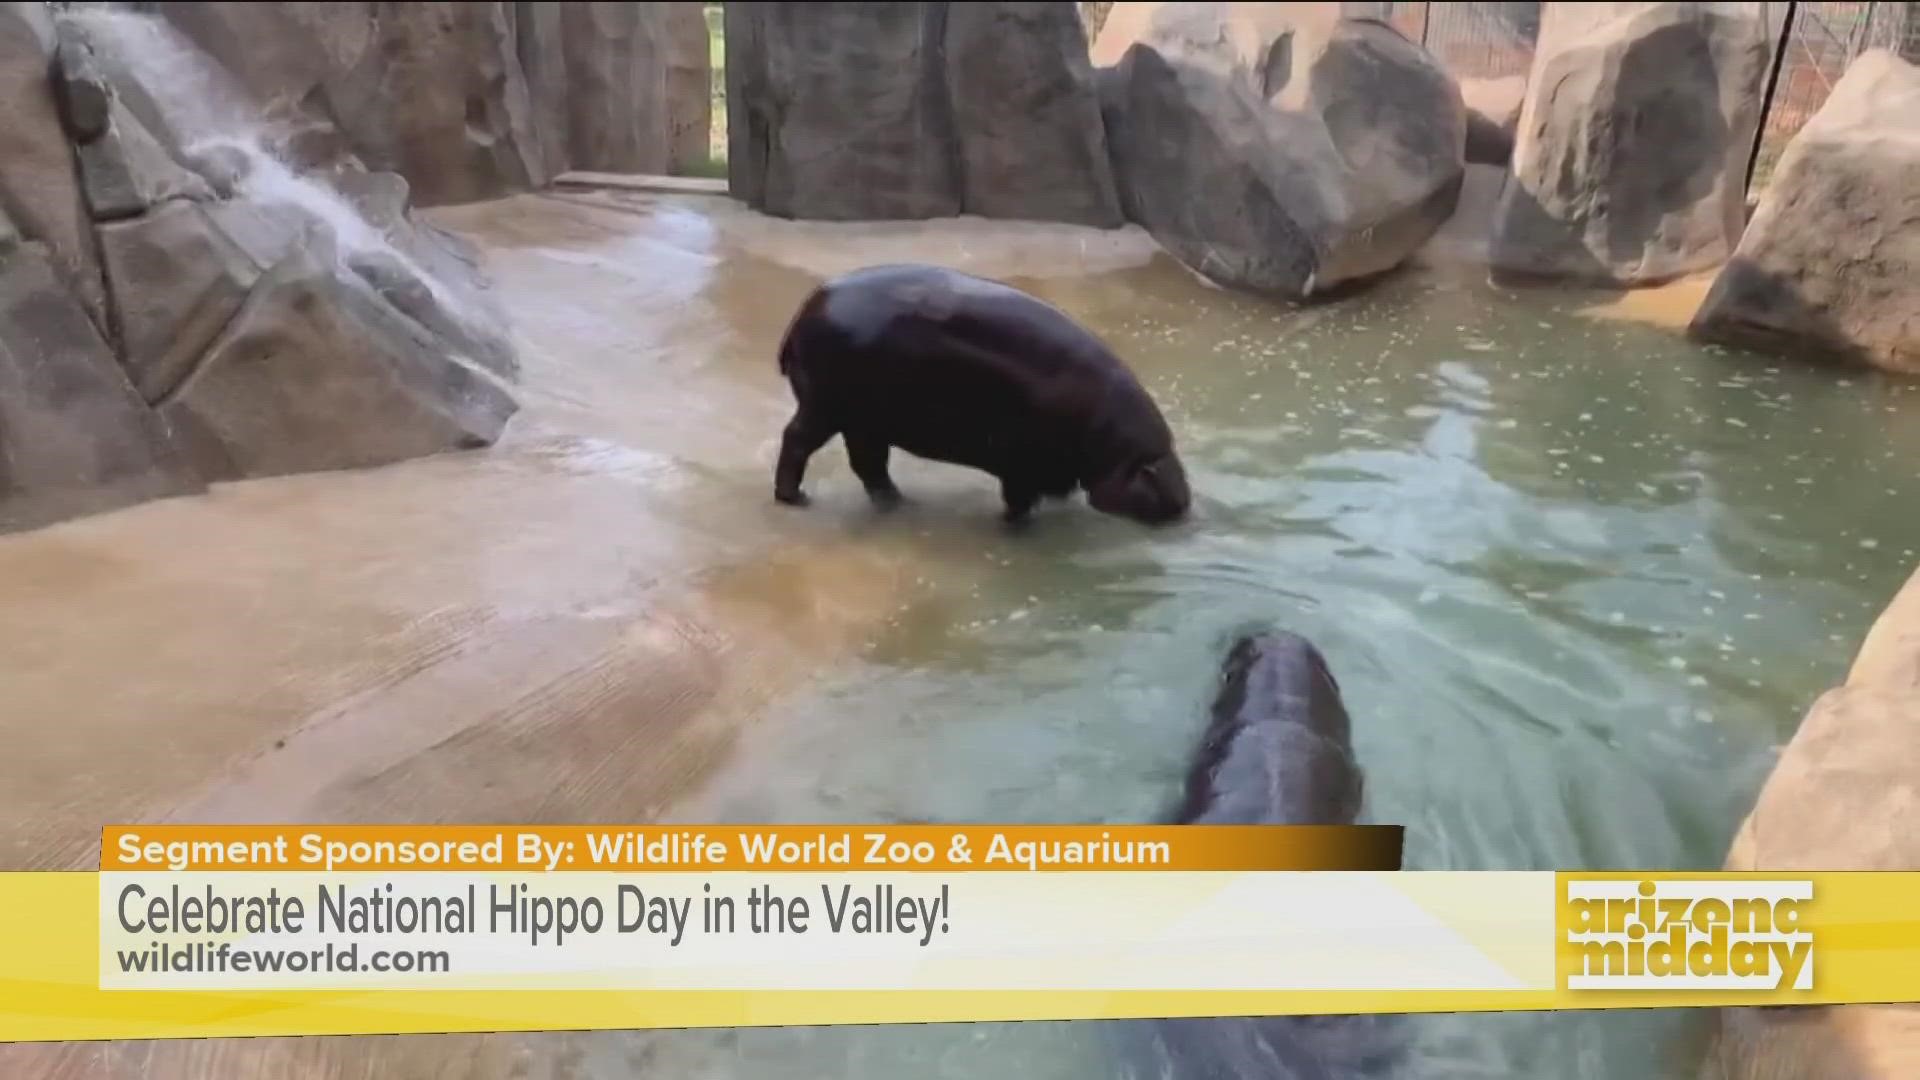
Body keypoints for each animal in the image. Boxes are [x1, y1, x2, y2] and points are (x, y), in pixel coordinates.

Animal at [764, 265, 1182, 526]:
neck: (1119, 449)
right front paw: (1013, 527)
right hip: (826, 407)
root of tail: (802, 314)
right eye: (1151, 478)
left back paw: (901, 505)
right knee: (798, 441)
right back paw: (796, 499)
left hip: (865, 420)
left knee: (869, 465)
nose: (1184, 503)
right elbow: (1018, 503)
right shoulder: (1022, 465)